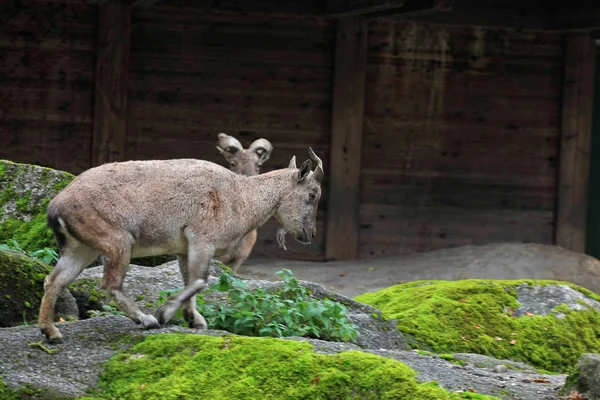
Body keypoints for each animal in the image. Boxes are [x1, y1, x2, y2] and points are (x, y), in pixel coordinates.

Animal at [38, 148, 324, 342]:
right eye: (312, 195)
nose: (310, 234)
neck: (241, 197)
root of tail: (56, 208)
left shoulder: (184, 249)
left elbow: (190, 281)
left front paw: (195, 321)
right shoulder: (202, 239)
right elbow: (200, 280)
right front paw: (165, 313)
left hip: (80, 249)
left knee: (54, 280)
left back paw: (51, 332)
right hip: (118, 240)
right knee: (110, 284)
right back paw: (146, 319)